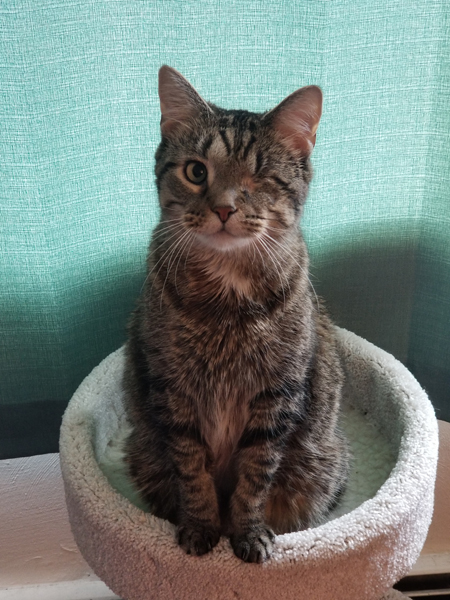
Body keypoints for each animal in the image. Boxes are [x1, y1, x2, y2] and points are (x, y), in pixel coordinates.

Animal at [123, 65, 349, 564]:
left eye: (261, 176)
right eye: (195, 171)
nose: (224, 208)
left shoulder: (277, 396)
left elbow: (255, 479)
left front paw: (246, 532)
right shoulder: (174, 393)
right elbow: (193, 474)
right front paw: (202, 526)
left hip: (320, 469)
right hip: (144, 453)